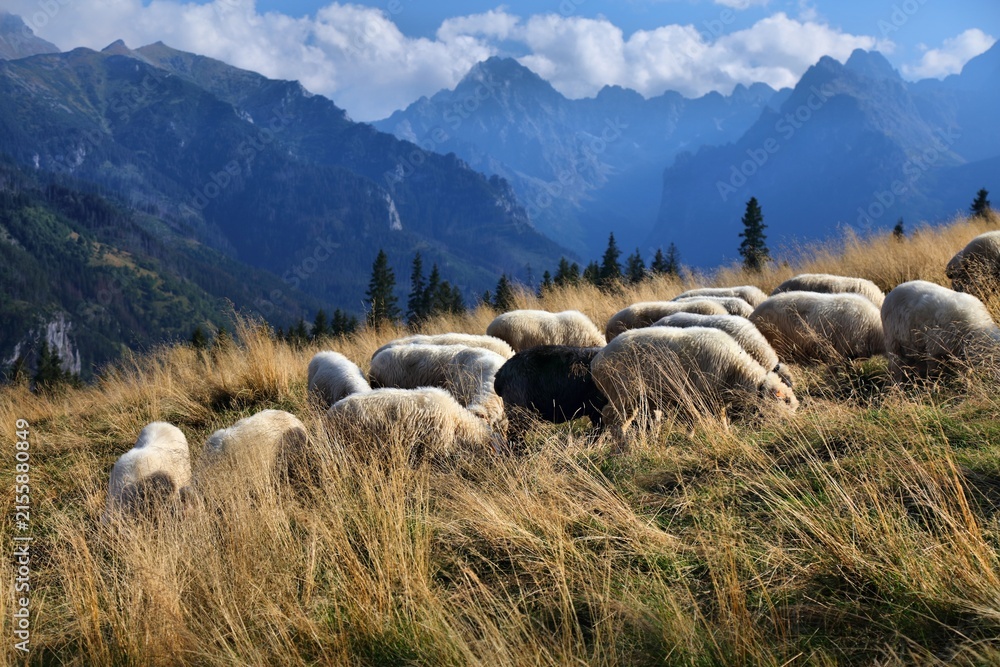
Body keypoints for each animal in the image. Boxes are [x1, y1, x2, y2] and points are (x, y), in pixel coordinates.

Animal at [591, 327, 797, 438]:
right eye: (786, 401)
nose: (792, 425)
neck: (735, 370)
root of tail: (596, 361)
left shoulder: (713, 399)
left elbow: (717, 418)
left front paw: (723, 433)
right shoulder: (699, 395)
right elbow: (699, 419)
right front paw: (694, 436)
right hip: (622, 392)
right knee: (610, 417)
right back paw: (622, 446)